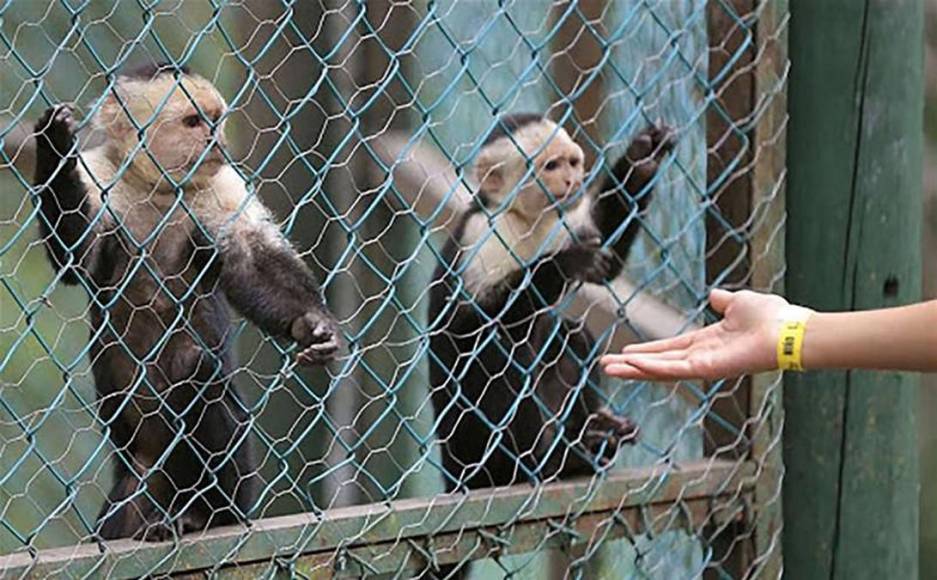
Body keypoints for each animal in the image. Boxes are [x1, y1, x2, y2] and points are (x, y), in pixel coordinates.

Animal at [31, 62, 342, 540]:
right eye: (194, 122)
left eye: (215, 120)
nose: (217, 140)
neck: (156, 187)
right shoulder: (100, 175)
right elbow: (77, 259)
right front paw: (53, 146)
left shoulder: (223, 182)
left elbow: (251, 259)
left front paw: (311, 324)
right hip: (133, 486)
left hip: (235, 479)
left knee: (196, 371)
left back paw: (207, 512)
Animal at [432, 113, 672, 498]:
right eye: (551, 166)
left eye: (572, 162)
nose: (572, 180)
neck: (523, 220)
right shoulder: (486, 234)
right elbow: (472, 324)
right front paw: (565, 265)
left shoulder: (558, 223)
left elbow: (605, 255)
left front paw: (641, 159)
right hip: (471, 454)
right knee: (500, 353)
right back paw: (538, 465)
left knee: (570, 335)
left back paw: (589, 440)